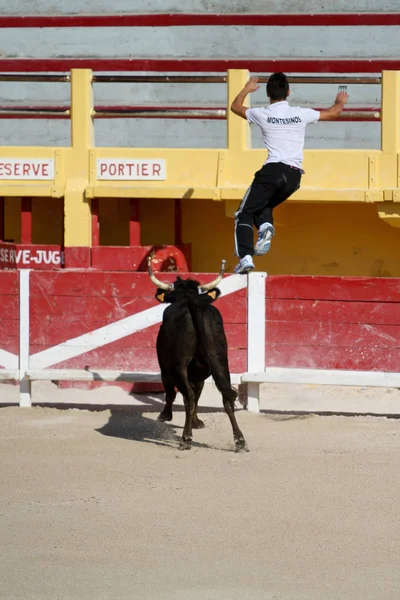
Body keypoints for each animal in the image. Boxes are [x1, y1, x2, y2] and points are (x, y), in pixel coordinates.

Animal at [148, 256, 247, 450]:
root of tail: (192, 302)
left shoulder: (165, 366)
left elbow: (173, 392)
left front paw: (165, 416)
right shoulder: (200, 373)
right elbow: (199, 392)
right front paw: (196, 421)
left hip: (178, 366)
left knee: (188, 396)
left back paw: (186, 438)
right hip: (221, 362)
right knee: (226, 396)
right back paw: (239, 440)